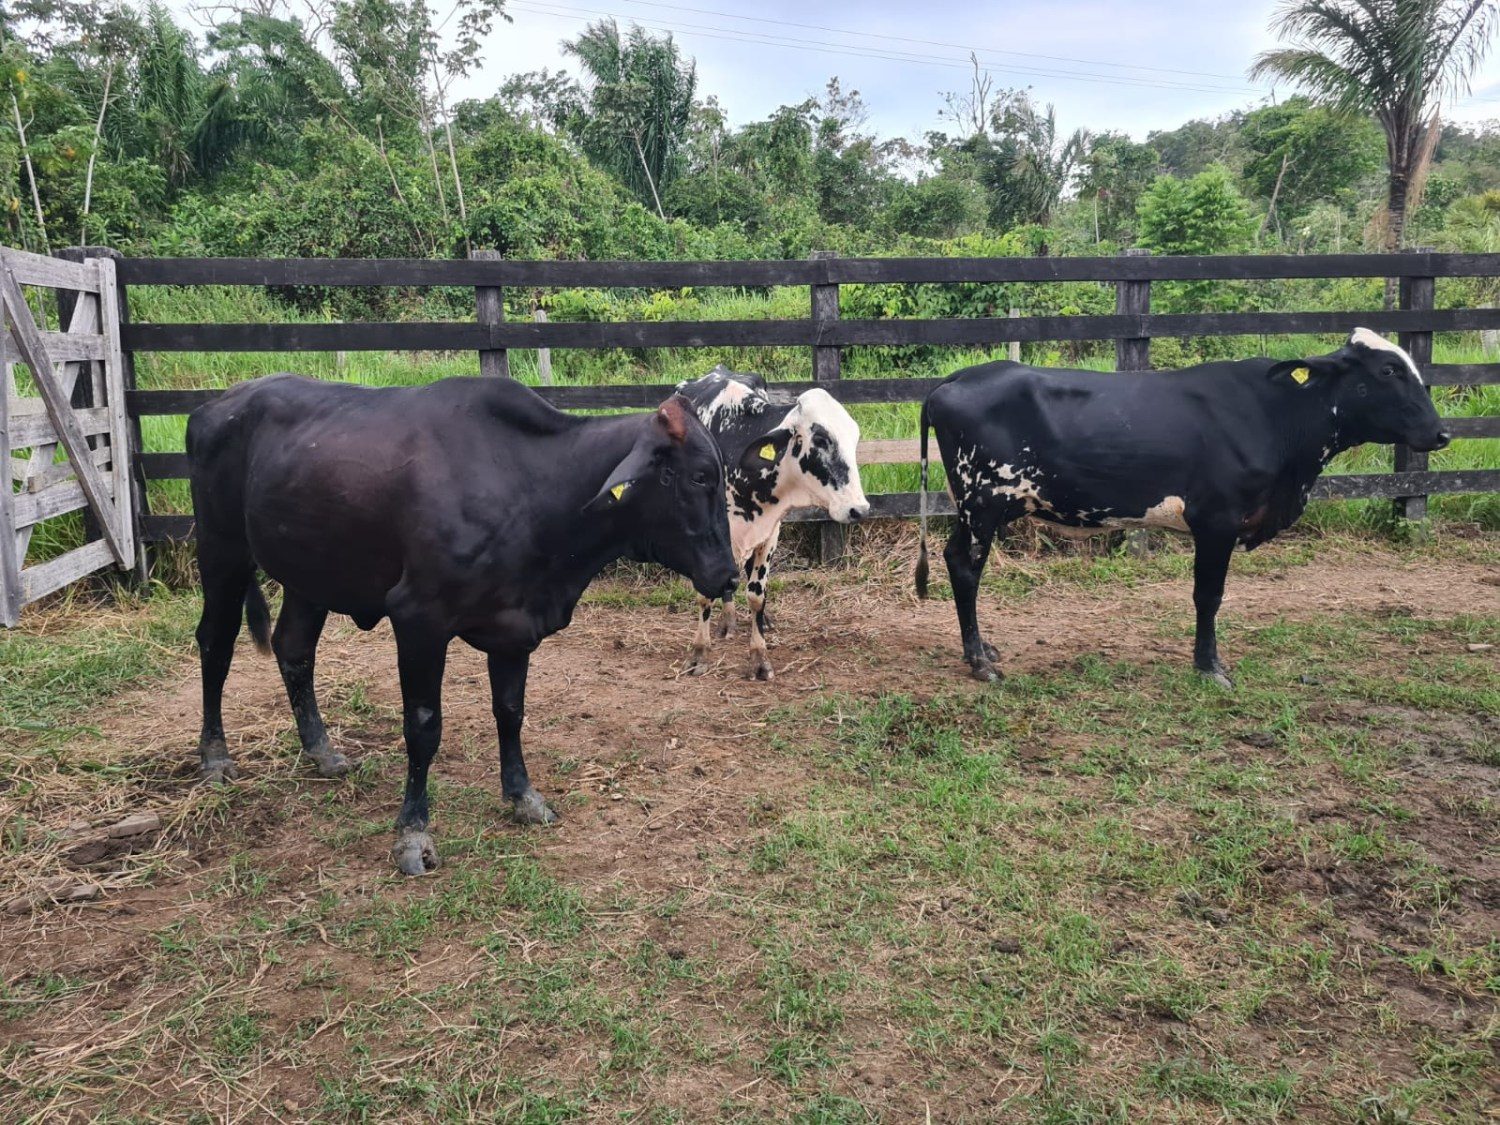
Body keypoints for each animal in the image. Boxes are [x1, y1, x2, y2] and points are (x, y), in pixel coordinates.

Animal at [187, 375, 738, 876]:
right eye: (699, 478)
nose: (730, 575)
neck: (534, 488)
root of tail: (218, 403)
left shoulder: (514, 628)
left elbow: (510, 713)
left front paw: (523, 796)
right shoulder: (418, 619)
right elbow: (424, 727)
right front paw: (413, 834)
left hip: (310, 572)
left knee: (294, 648)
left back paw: (322, 751)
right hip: (221, 549)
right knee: (215, 645)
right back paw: (214, 757)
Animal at [672, 367, 870, 678]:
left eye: (854, 438)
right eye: (821, 439)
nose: (858, 509)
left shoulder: (770, 533)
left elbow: (756, 595)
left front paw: (759, 657)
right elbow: (705, 593)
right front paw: (699, 653)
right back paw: (726, 622)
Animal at [912, 330, 1452, 687]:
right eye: (1387, 370)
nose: (1442, 432)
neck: (1277, 418)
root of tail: (956, 378)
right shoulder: (1217, 521)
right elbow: (1208, 596)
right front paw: (1209, 666)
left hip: (982, 508)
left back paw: (983, 649)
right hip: (983, 503)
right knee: (964, 566)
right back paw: (979, 662)